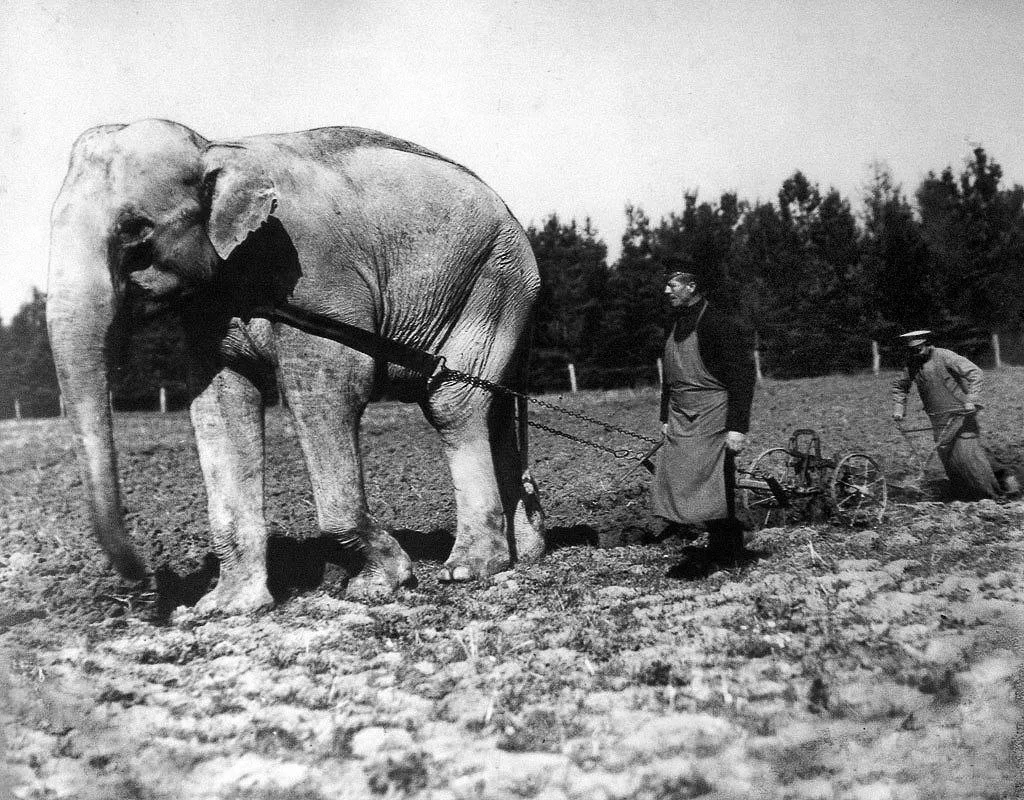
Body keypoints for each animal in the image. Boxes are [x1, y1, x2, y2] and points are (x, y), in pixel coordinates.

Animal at [47, 118, 546, 614]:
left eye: (135, 232)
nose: (145, 580)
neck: (215, 147)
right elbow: (219, 404)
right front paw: (226, 607)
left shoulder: (316, 276)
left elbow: (332, 387)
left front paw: (381, 584)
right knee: (493, 409)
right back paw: (528, 548)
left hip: (494, 280)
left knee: (453, 405)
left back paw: (469, 568)